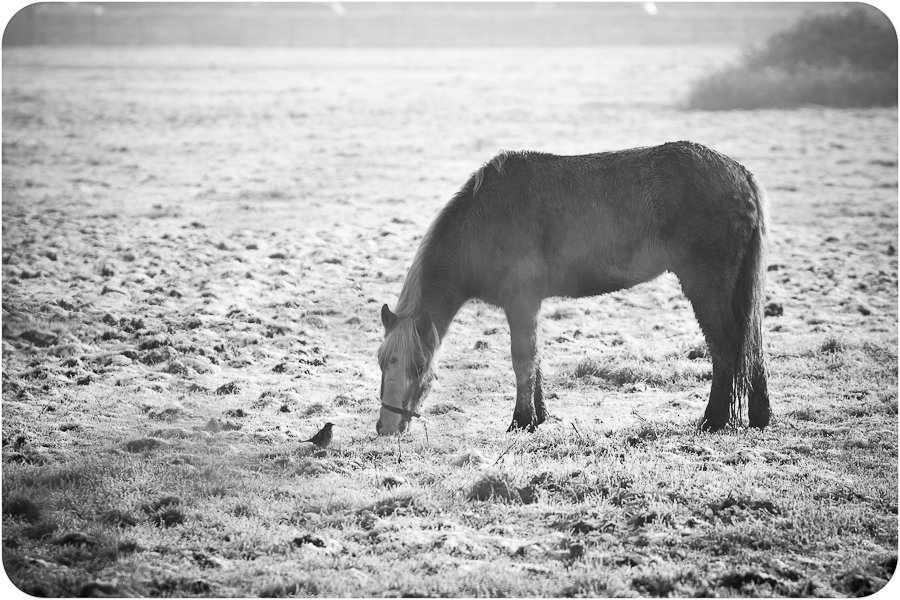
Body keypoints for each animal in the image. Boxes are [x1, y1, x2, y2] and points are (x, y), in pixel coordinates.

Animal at [376, 141, 768, 436]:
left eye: (417, 367)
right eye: (381, 363)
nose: (387, 427)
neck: (484, 220)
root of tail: (740, 175)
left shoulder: (520, 302)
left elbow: (522, 359)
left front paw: (521, 421)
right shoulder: (529, 305)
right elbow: (535, 359)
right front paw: (538, 417)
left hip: (706, 286)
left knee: (725, 346)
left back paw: (713, 420)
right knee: (753, 346)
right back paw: (760, 417)